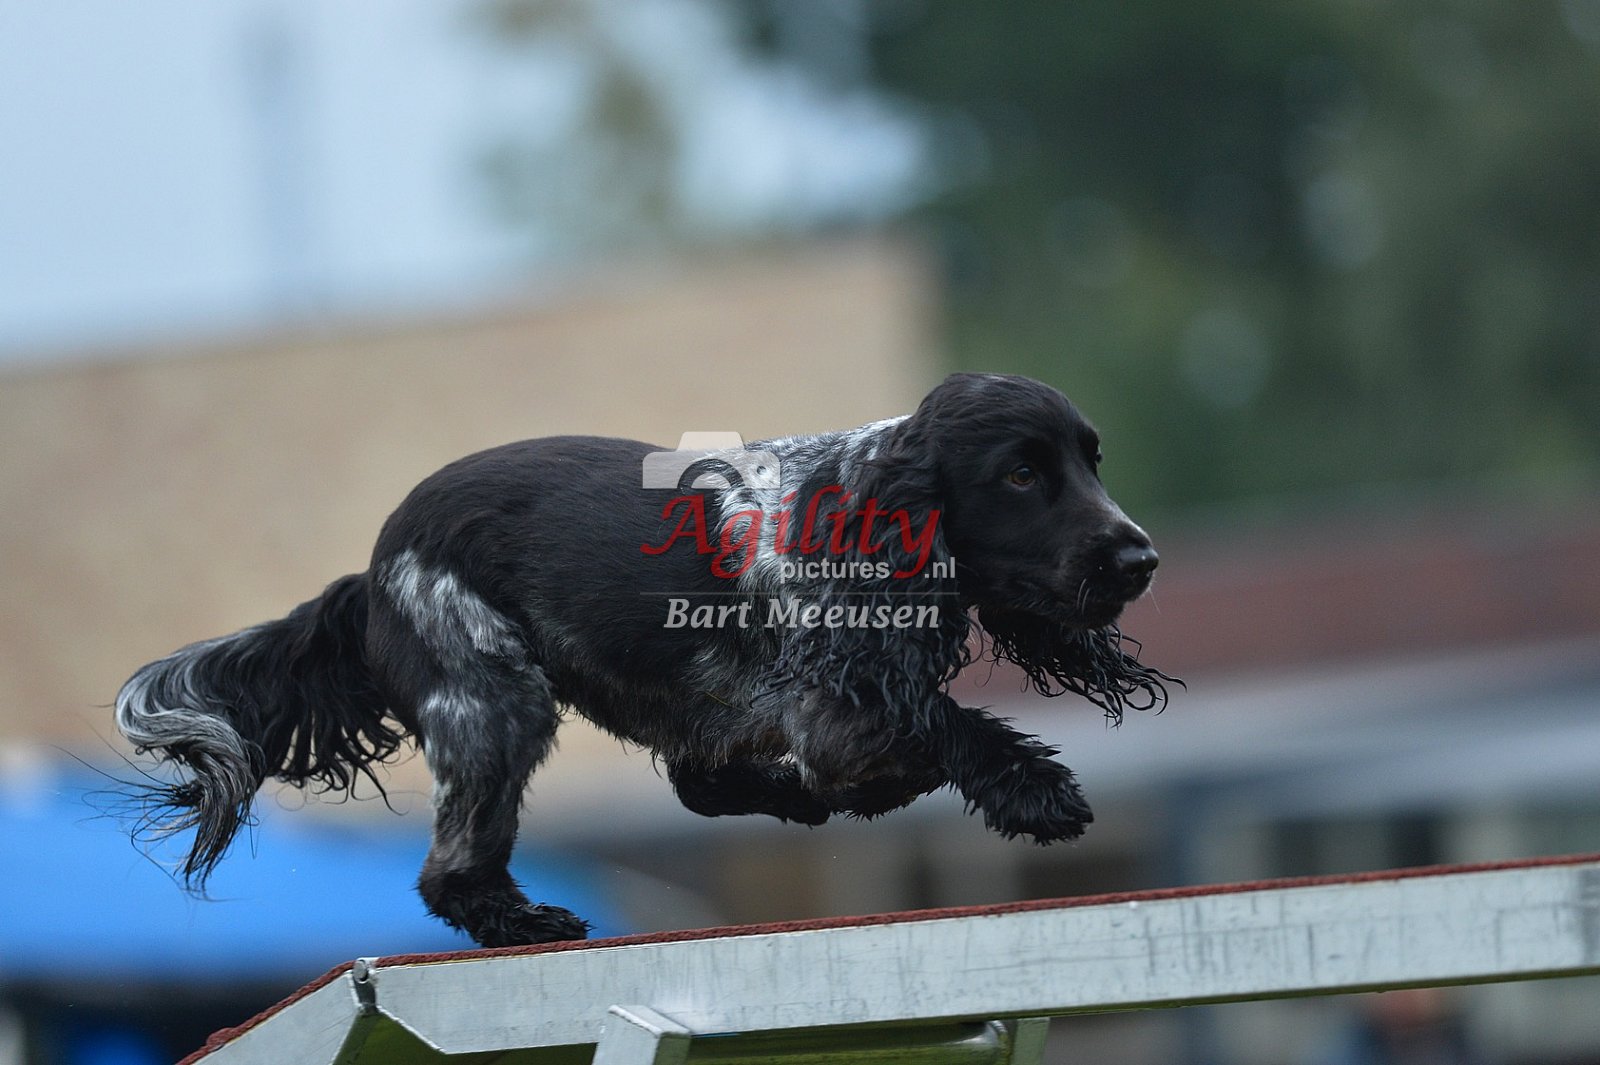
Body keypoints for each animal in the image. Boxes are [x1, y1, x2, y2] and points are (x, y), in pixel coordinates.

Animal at [115, 372, 1173, 947]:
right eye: (1021, 474)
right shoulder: (836, 700)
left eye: (1092, 461)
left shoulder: (805, 708)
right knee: (451, 869)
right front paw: (1037, 790)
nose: (1141, 559)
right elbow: (949, 722)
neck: (863, 502)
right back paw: (527, 921)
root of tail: (369, 575)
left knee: (698, 784)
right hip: (498, 703)